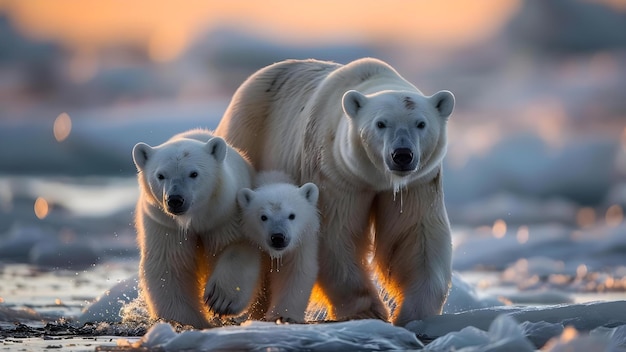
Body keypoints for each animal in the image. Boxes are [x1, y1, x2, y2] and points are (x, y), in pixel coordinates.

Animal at [214, 57, 454, 324]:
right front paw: (367, 311)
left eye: (421, 123)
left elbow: (414, 236)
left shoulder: (416, 184)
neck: (376, 179)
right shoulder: (334, 173)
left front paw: (414, 313)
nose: (402, 154)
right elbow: (336, 237)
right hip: (250, 132)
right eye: (381, 123)